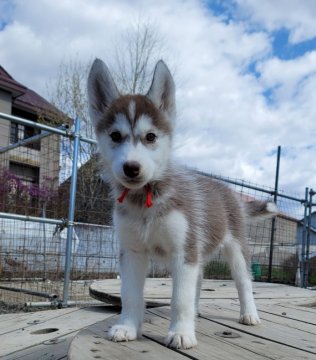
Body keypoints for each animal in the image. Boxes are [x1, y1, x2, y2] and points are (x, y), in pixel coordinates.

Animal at [86, 59, 276, 348]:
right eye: (115, 136)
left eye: (151, 137)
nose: (131, 168)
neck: (146, 200)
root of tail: (230, 192)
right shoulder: (132, 252)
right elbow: (130, 295)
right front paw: (127, 327)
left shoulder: (183, 252)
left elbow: (180, 299)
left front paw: (181, 333)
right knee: (199, 280)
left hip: (235, 249)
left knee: (243, 282)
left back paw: (249, 314)